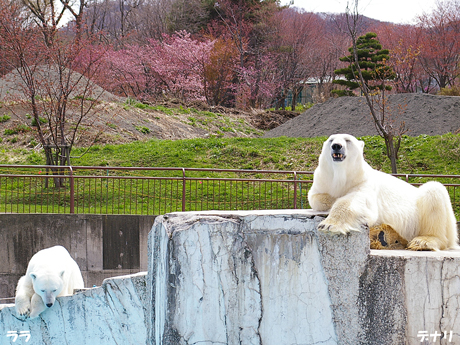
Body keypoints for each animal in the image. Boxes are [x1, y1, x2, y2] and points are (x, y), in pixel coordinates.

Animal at [308, 132, 458, 250]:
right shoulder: (323, 179)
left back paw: (423, 241)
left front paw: (328, 225)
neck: (341, 174)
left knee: (434, 192)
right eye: (331, 140)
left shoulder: (364, 182)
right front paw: (333, 199)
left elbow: (354, 201)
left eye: (347, 140)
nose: (336, 146)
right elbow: (315, 197)